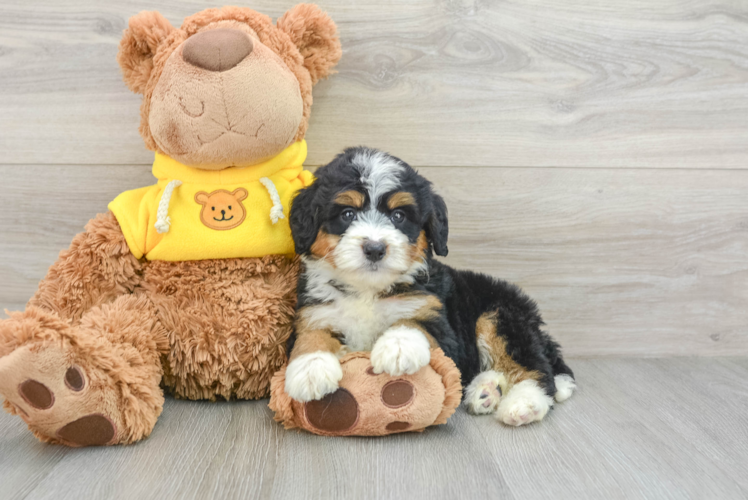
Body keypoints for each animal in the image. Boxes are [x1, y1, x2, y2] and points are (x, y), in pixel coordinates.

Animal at [284, 147, 576, 426]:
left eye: (399, 216)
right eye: (347, 214)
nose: (375, 248)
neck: (369, 289)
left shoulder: (442, 324)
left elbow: (416, 322)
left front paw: (398, 346)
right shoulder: (313, 313)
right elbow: (311, 336)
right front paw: (310, 369)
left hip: (499, 316)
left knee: (534, 367)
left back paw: (524, 403)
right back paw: (486, 391)